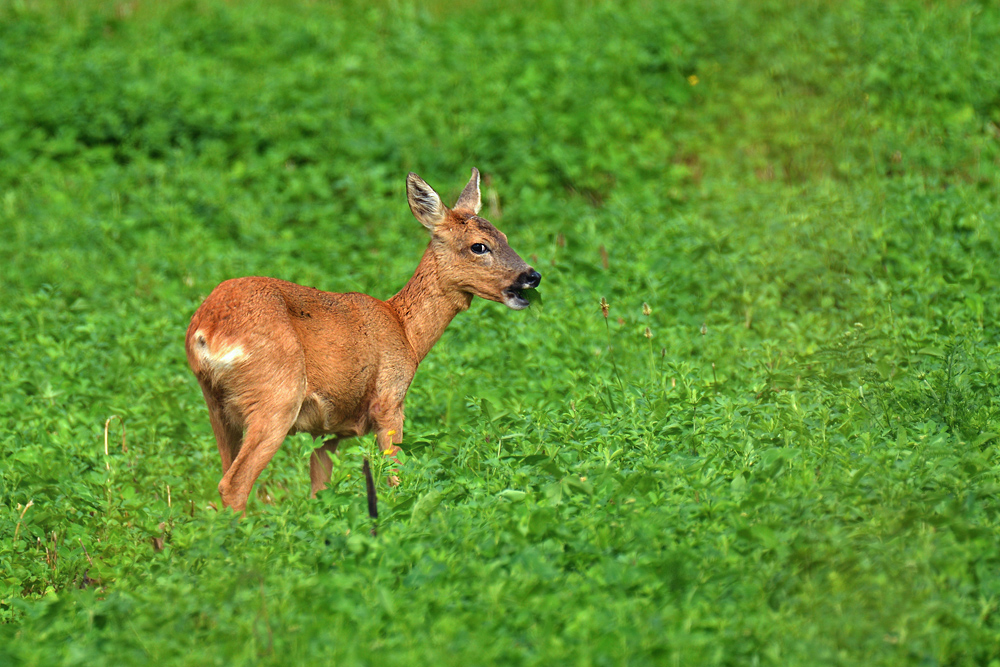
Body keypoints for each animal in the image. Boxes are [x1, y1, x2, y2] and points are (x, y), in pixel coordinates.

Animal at [185, 168, 541, 512]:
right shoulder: (389, 398)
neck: (405, 331)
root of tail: (207, 331)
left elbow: (320, 490)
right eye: (479, 246)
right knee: (234, 484)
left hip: (217, 404)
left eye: (505, 236)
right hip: (276, 395)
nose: (532, 276)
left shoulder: (326, 429)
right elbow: (395, 476)